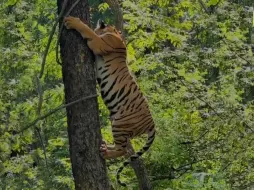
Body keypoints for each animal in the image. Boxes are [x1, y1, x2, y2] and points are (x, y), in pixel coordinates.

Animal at [64, 15, 155, 186]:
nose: (102, 20)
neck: (116, 36)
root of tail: (152, 124)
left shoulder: (100, 43)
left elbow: (88, 30)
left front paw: (72, 21)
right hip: (118, 124)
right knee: (123, 147)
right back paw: (105, 148)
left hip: (120, 123)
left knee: (123, 150)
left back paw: (106, 154)